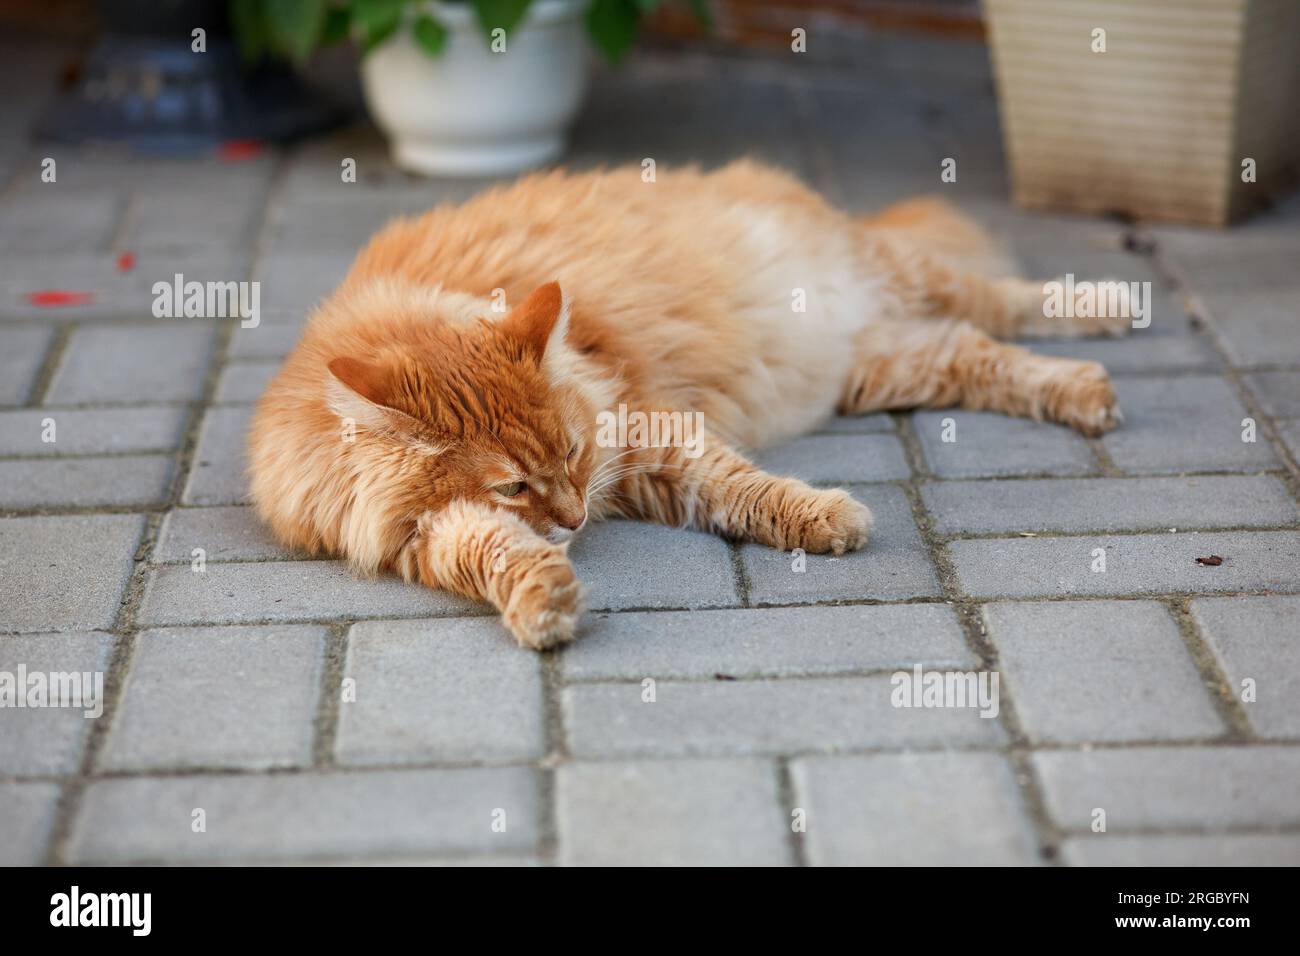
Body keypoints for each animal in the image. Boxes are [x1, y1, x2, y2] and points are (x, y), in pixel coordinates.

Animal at [250, 160, 1128, 650]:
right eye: (515, 485)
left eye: (573, 452)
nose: (576, 518)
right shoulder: (428, 534)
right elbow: (493, 552)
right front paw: (544, 600)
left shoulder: (646, 432)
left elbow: (744, 487)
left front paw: (827, 518)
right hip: (881, 365)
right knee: (975, 351)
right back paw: (1084, 390)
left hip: (901, 274)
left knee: (1001, 301)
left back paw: (1107, 321)